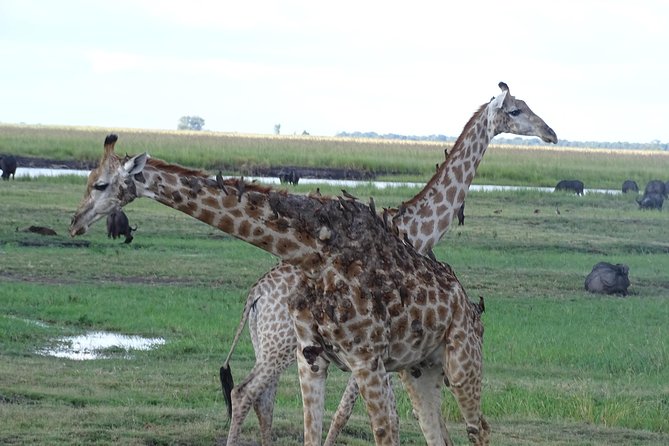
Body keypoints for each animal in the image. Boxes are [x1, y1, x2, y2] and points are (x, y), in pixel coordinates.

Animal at [69, 133, 490, 446]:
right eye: (88, 181)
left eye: (101, 184)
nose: (74, 221)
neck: (312, 252)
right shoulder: (314, 359)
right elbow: (315, 433)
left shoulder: (368, 362)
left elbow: (380, 430)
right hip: (419, 369)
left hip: (461, 361)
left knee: (478, 427)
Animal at [222, 82, 556, 444]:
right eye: (516, 111)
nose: (550, 133)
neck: (417, 228)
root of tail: (254, 296)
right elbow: (355, 411)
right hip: (281, 346)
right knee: (245, 392)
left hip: (269, 346)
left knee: (262, 397)